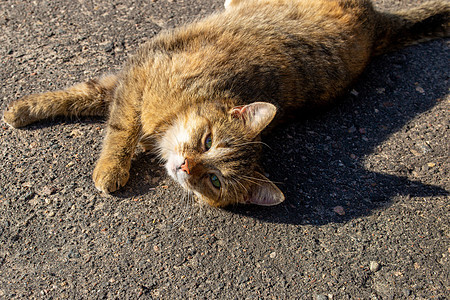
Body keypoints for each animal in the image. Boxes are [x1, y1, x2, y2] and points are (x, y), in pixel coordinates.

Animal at [3, 0, 450, 206]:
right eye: (207, 141)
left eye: (214, 181)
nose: (186, 166)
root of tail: (377, 23)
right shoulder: (140, 72)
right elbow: (108, 116)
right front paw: (23, 109)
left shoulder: (133, 81)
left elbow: (105, 109)